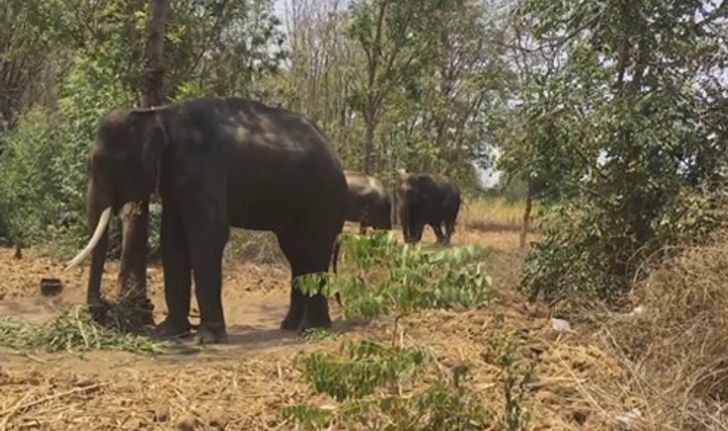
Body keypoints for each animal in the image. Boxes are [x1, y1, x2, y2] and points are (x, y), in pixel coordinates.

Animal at [65, 97, 346, 344]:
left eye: (113, 163)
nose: (104, 307)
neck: (159, 115)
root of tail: (333, 151)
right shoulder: (174, 178)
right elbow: (172, 238)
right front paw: (168, 332)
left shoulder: (202, 167)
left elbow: (207, 235)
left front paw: (206, 339)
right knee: (296, 253)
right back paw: (290, 326)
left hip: (323, 199)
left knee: (313, 250)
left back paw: (312, 329)